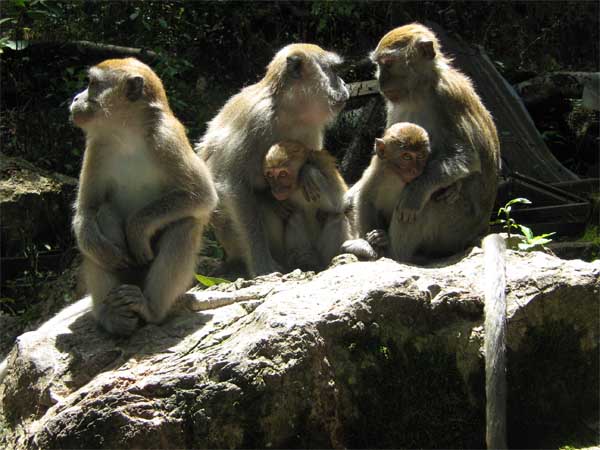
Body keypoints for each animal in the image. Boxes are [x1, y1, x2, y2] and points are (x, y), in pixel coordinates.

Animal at [69, 58, 218, 336]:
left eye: (92, 83)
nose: (75, 98)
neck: (126, 134)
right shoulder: (96, 147)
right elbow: (87, 209)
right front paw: (104, 250)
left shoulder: (167, 139)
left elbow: (202, 196)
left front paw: (137, 229)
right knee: (103, 215)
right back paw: (112, 315)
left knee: (185, 225)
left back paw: (150, 310)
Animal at [260, 142, 350, 272]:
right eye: (270, 175)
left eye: (283, 174)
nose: (276, 188)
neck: (297, 186)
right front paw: (273, 202)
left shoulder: (325, 168)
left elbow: (341, 205)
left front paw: (307, 172)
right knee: (294, 215)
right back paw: (303, 261)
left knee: (336, 217)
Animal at [372, 23, 500, 264]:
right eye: (379, 65)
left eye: (388, 63)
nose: (380, 81)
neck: (420, 90)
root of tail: (480, 230)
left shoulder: (447, 96)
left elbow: (467, 157)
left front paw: (416, 191)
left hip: (456, 227)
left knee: (430, 201)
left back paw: (393, 252)